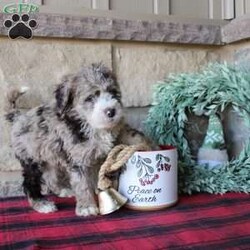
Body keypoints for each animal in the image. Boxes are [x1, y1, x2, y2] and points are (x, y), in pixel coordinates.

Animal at [5, 63, 150, 216]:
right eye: (90, 97)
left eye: (113, 93)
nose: (111, 111)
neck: (91, 125)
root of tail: (18, 117)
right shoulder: (77, 159)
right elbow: (82, 183)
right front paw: (87, 207)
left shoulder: (108, 143)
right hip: (31, 158)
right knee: (30, 183)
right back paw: (42, 204)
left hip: (50, 156)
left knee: (51, 176)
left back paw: (63, 190)